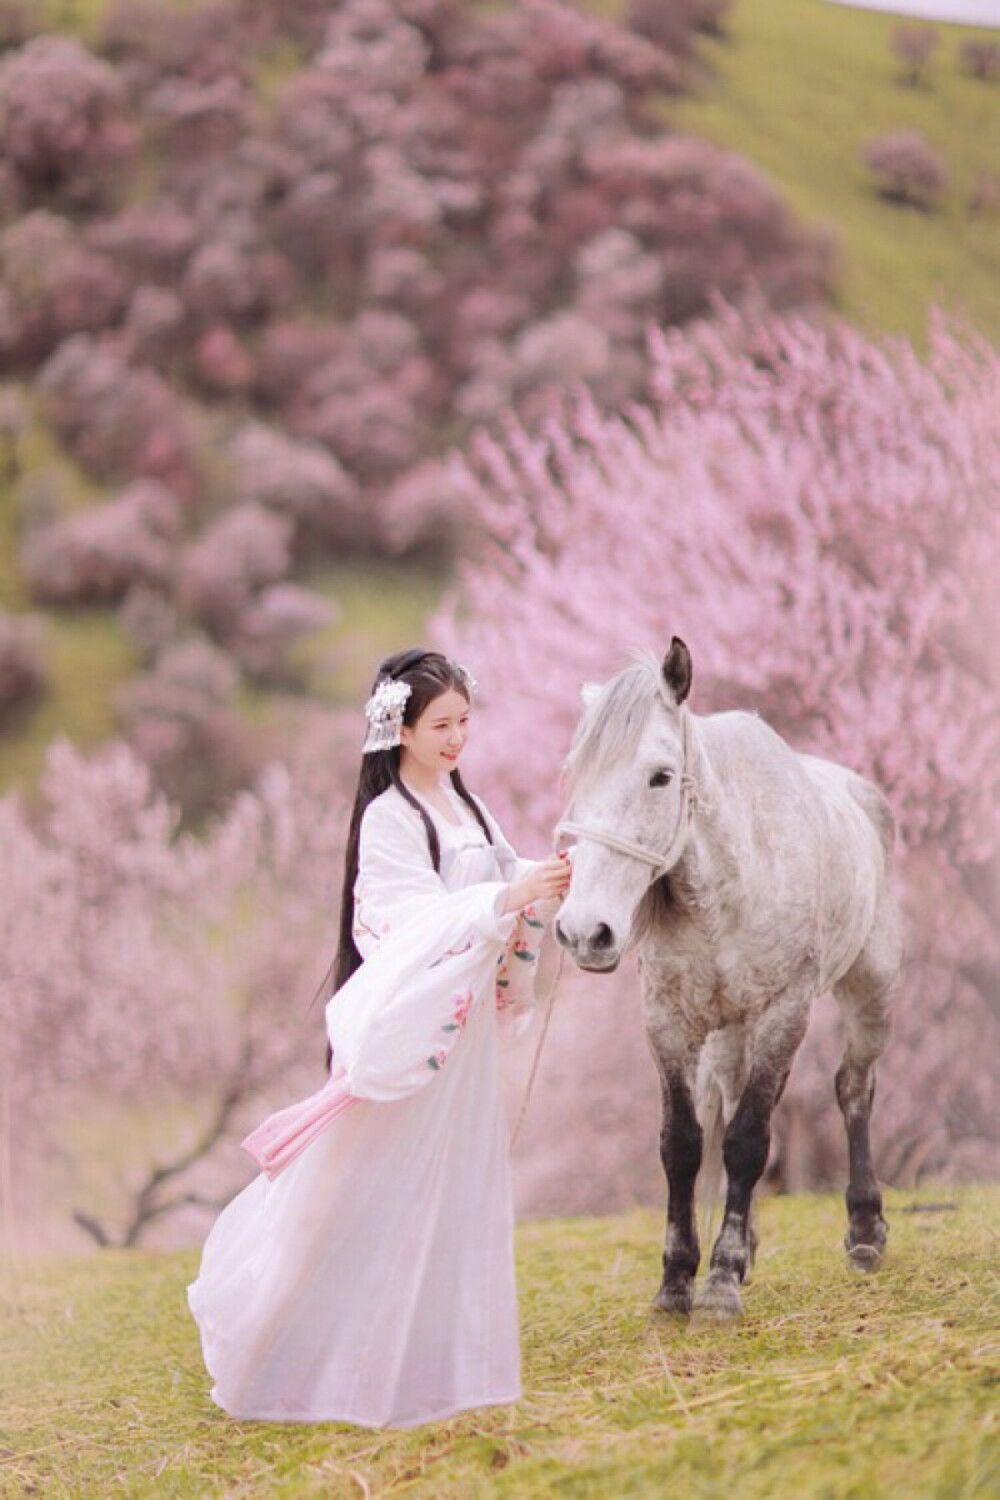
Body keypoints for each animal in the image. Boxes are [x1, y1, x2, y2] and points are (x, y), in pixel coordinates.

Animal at [551, 639, 905, 1320]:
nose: (584, 931)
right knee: (734, 1095)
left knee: (854, 1089)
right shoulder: (667, 1022)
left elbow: (746, 1139)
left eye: (661, 776)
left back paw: (864, 1231)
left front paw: (719, 1284)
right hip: (731, 1032)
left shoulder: (783, 1013)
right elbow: (684, 1142)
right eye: (578, 776)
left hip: (868, 990)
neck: (733, 876)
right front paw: (676, 1280)